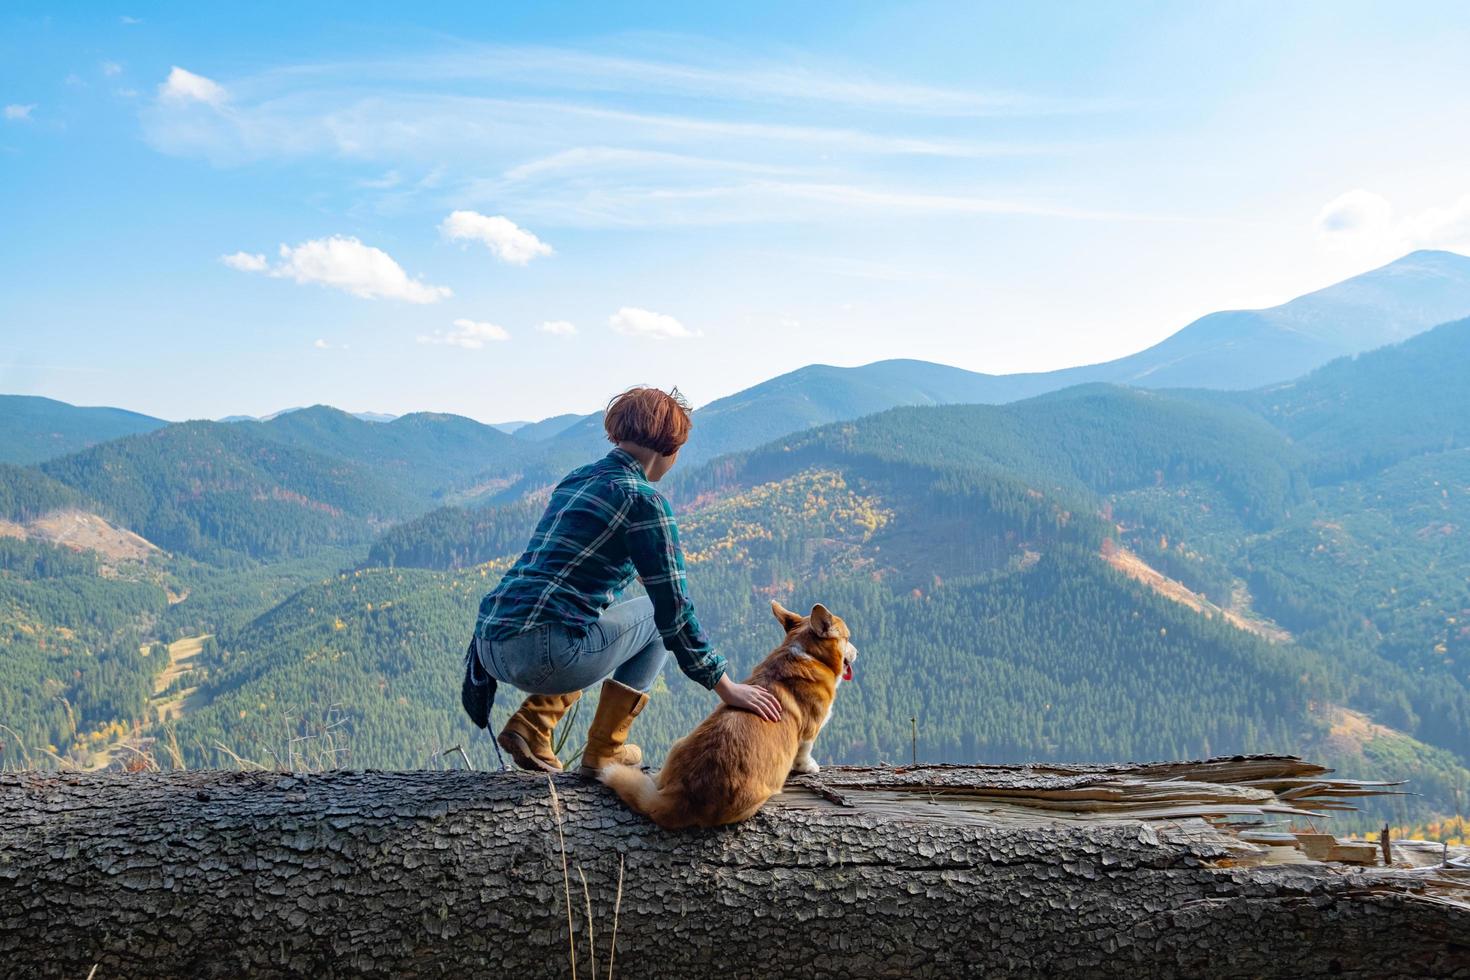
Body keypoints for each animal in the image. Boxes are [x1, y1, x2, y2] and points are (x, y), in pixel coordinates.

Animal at [599, 602, 858, 834]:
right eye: (848, 638)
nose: (858, 652)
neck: (809, 654)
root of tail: (682, 796)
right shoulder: (811, 729)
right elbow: (805, 752)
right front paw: (809, 767)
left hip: (677, 745)